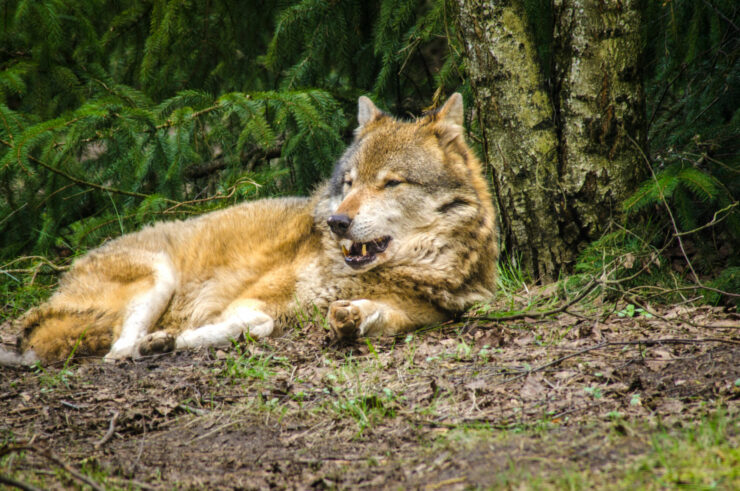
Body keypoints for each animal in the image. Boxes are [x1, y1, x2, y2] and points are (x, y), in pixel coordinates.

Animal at [0, 94, 500, 368]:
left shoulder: (424, 315)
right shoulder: (249, 300)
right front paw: (184, 339)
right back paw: (148, 345)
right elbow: (260, 322)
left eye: (390, 183)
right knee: (116, 350)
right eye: (350, 183)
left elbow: (375, 317)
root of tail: (62, 283)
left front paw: (350, 317)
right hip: (158, 275)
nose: (337, 221)